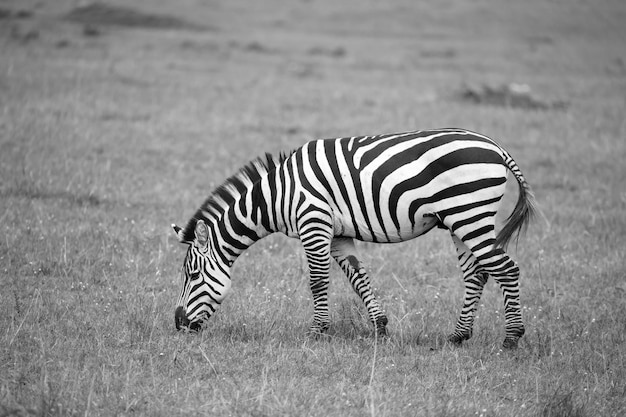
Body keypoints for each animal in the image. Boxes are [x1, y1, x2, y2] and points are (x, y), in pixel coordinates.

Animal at [172, 127, 536, 348]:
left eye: (193, 275)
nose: (178, 325)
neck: (277, 196)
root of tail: (495, 146)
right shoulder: (338, 234)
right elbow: (358, 276)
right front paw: (380, 326)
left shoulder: (313, 221)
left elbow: (318, 280)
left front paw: (316, 332)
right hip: (461, 221)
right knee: (477, 274)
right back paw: (458, 336)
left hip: (468, 213)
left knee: (507, 269)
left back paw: (511, 338)